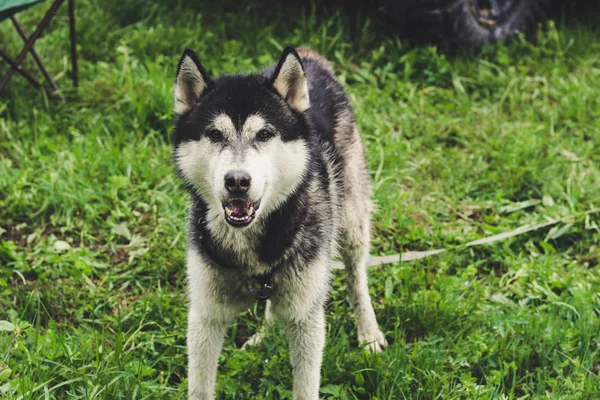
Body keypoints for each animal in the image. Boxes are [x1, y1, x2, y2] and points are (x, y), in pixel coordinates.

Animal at [172, 47, 390, 400]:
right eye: (215, 134)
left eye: (264, 134)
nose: (237, 181)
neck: (250, 245)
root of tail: (309, 55)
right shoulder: (205, 317)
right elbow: (200, 386)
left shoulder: (307, 318)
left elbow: (305, 386)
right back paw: (265, 335)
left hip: (351, 221)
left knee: (357, 275)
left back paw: (368, 332)